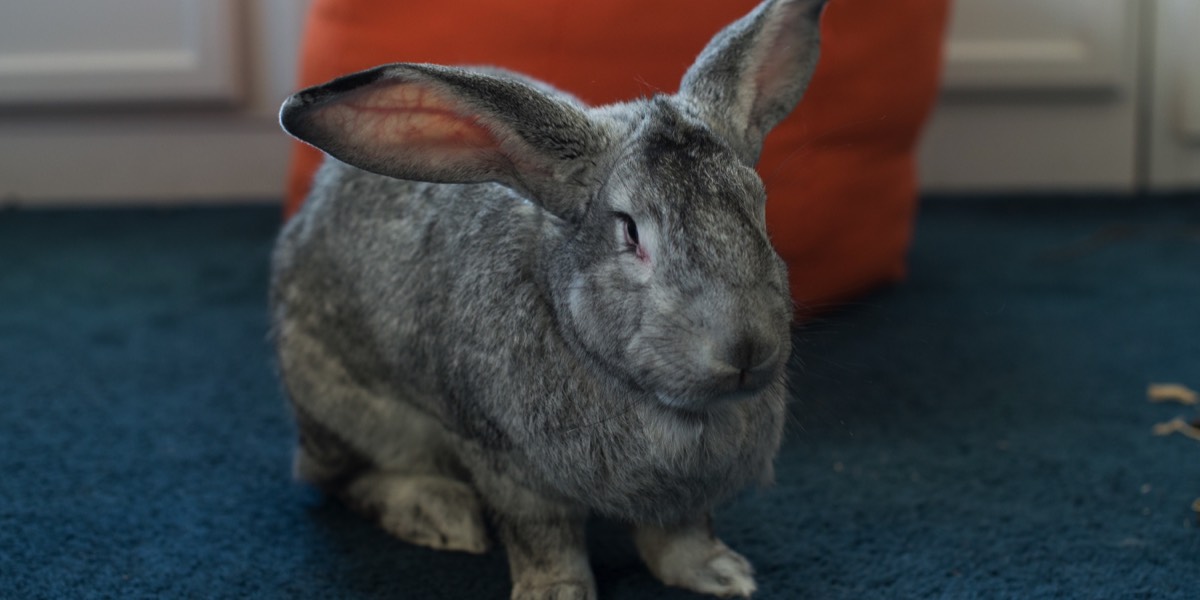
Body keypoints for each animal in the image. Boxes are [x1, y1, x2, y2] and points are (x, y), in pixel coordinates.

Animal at [274, 1, 825, 595]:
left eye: (759, 208)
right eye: (631, 232)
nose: (746, 347)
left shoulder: (685, 496)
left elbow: (681, 536)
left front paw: (722, 575)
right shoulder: (509, 467)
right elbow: (544, 538)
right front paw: (557, 592)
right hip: (356, 411)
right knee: (340, 478)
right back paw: (441, 515)